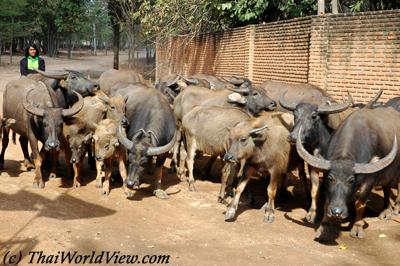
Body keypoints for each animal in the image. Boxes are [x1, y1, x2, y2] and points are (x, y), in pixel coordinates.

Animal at [296, 107, 400, 240]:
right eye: (330, 179)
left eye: (351, 180)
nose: (337, 212)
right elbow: (326, 201)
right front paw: (324, 226)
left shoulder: (369, 181)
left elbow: (360, 204)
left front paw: (357, 228)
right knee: (387, 187)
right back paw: (385, 210)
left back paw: (392, 210)